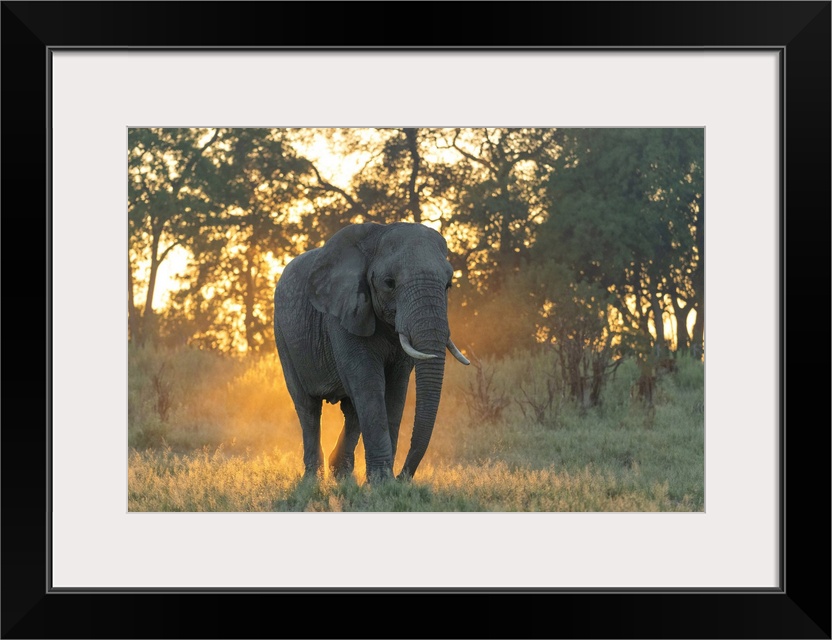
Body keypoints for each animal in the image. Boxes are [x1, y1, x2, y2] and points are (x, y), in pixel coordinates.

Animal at [272, 222, 468, 482]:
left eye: (448, 285)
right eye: (389, 282)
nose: (403, 477)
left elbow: (395, 391)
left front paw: (385, 483)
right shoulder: (343, 313)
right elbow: (368, 383)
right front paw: (382, 483)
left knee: (351, 410)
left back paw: (342, 475)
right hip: (283, 337)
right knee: (308, 408)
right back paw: (313, 479)